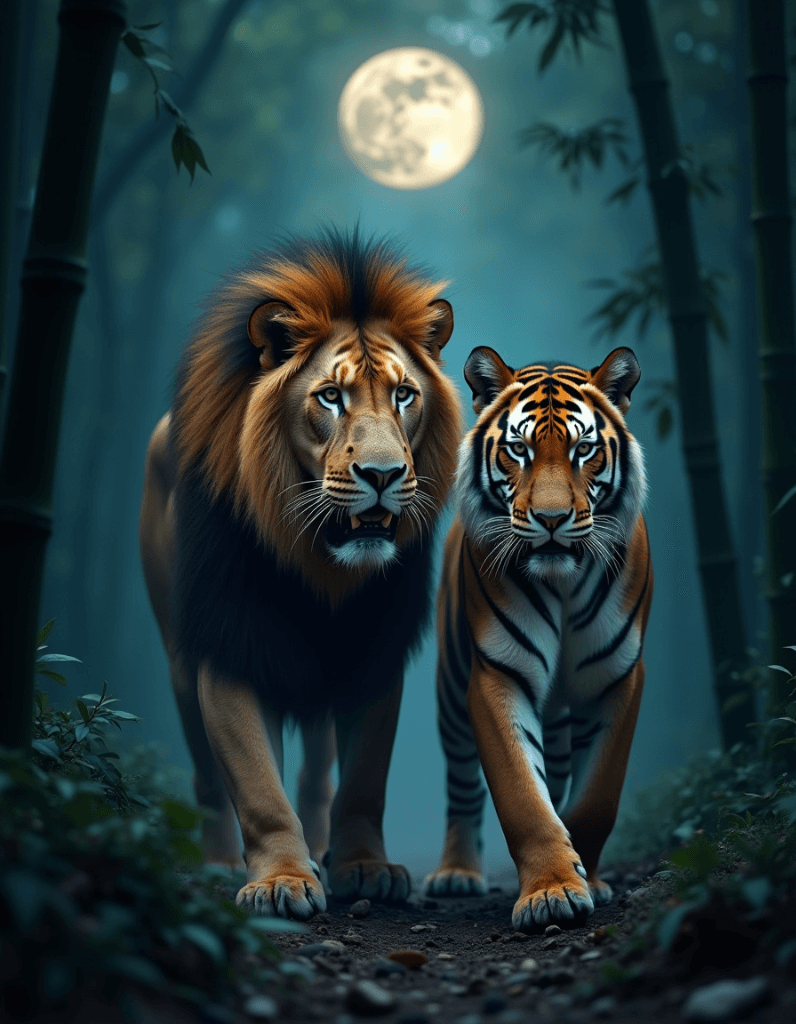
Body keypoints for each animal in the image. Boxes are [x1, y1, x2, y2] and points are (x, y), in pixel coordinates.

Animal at [139, 227, 462, 919]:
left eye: (404, 394)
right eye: (330, 397)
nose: (382, 474)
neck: (319, 561)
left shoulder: (374, 649)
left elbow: (364, 777)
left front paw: (364, 867)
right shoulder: (231, 642)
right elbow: (257, 785)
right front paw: (281, 878)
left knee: (317, 773)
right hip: (179, 658)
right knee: (208, 776)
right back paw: (218, 863)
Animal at [424, 344, 652, 930]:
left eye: (584, 449)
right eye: (518, 450)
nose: (552, 520)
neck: (563, 582)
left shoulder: (617, 679)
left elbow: (595, 798)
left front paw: (587, 877)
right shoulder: (497, 676)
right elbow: (524, 796)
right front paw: (552, 892)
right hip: (450, 688)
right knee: (462, 786)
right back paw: (455, 873)